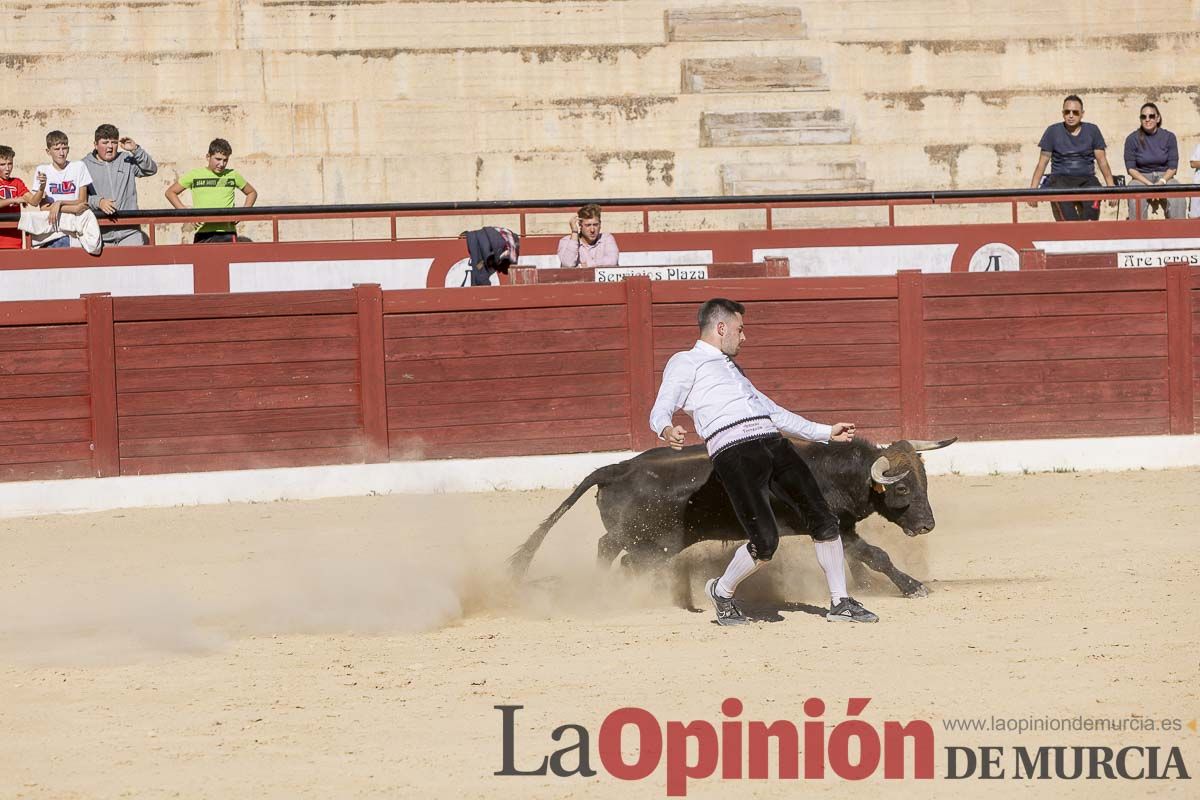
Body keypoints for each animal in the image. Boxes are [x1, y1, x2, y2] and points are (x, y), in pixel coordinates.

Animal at [506, 438, 955, 606]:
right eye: (901, 488)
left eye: (925, 480)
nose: (928, 525)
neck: (834, 469)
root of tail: (615, 469)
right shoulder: (832, 525)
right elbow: (876, 554)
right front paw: (912, 586)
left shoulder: (841, 528)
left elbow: (859, 556)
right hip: (651, 540)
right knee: (615, 552)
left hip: (649, 541)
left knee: (616, 554)